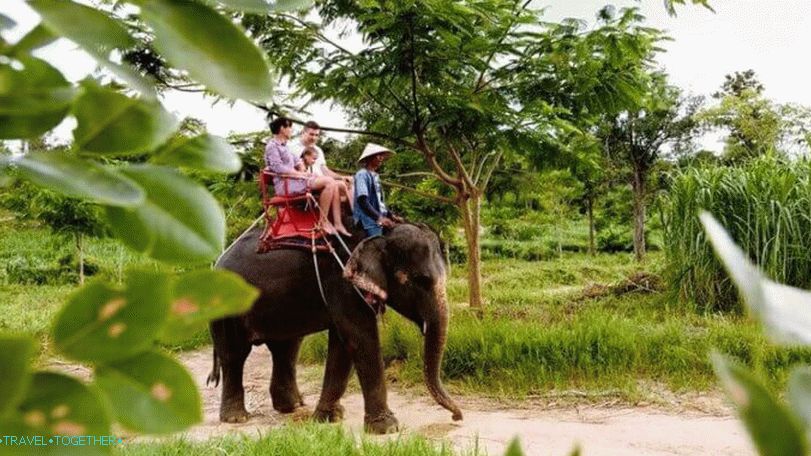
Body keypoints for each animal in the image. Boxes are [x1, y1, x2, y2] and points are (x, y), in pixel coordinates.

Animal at [209, 222, 464, 434]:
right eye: (419, 281)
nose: (457, 417)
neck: (381, 233)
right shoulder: (342, 282)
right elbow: (359, 337)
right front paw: (387, 428)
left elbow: (343, 344)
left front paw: (328, 417)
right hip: (225, 308)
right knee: (234, 355)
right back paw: (237, 418)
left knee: (287, 349)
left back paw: (292, 407)